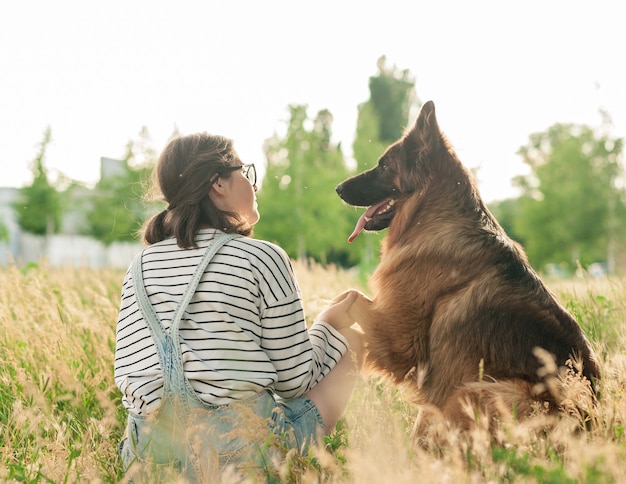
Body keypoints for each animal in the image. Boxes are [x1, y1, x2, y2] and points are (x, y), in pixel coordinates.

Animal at [336, 100, 600, 430]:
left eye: (384, 166)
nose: (338, 188)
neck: (433, 215)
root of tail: (593, 418)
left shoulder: (399, 340)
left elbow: (349, 296)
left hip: (478, 389)